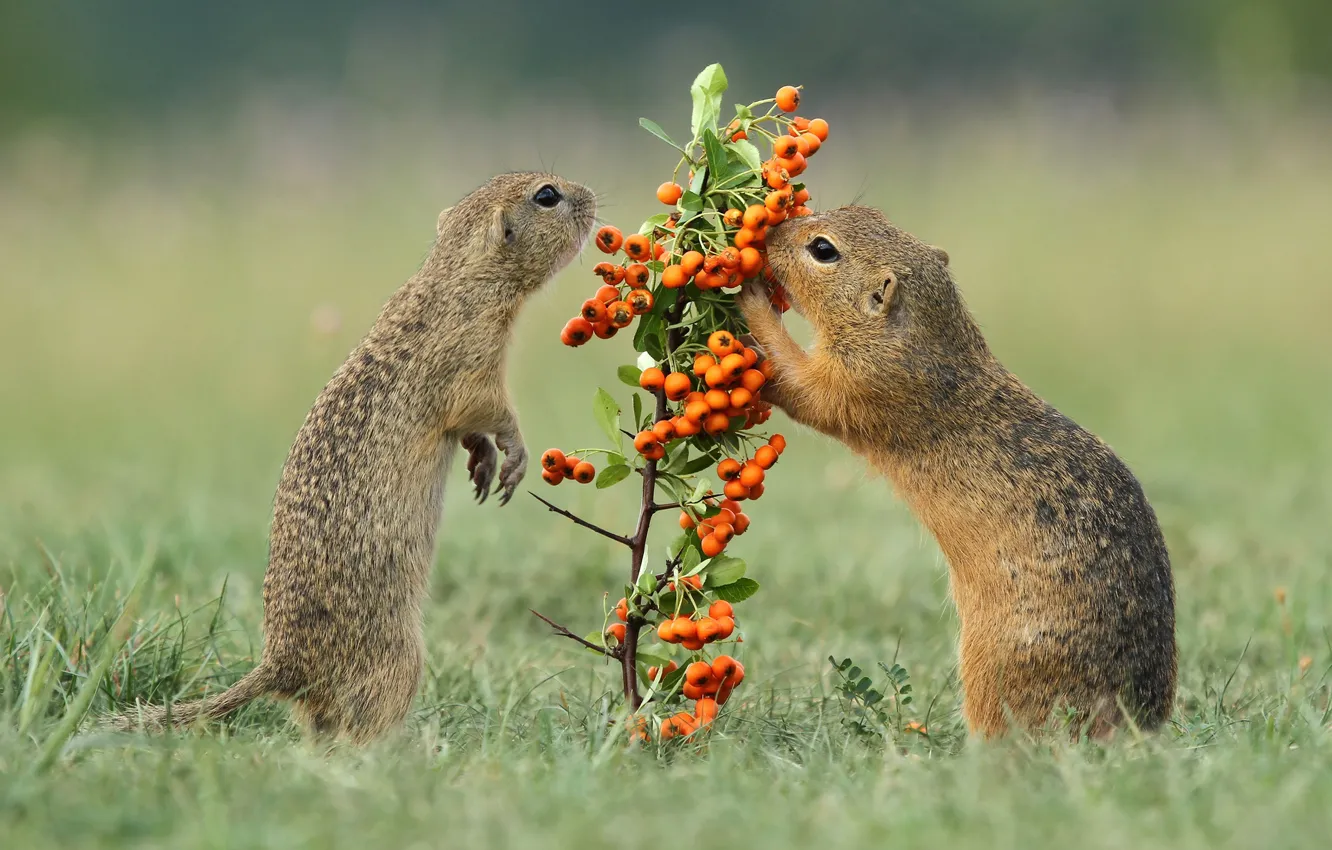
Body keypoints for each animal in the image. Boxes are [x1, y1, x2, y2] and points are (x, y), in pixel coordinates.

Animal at [109, 173, 599, 746]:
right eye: (547, 196)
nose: (591, 196)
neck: (458, 276)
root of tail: (281, 667)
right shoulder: (473, 361)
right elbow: (490, 410)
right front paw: (513, 459)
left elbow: (470, 431)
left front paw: (481, 464)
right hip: (399, 660)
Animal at [740, 206, 1177, 740]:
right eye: (865, 211)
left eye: (823, 249)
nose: (768, 234)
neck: (931, 343)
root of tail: (1134, 724)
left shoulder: (858, 382)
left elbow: (796, 381)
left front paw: (749, 301)